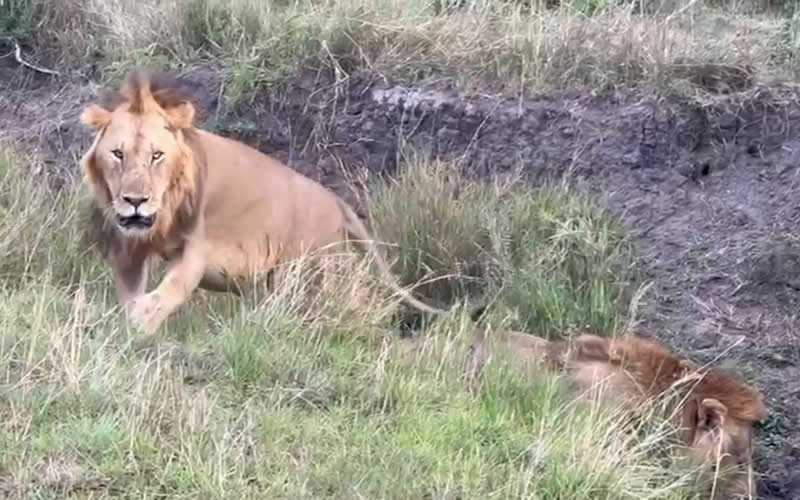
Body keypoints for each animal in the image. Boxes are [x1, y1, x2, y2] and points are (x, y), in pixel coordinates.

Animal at [79, 70, 451, 335]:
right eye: (118, 154)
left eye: (157, 155)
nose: (136, 201)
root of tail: (335, 200)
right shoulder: (129, 248)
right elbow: (130, 293)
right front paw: (127, 323)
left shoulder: (196, 247)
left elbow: (172, 289)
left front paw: (141, 324)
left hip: (311, 269)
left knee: (352, 300)